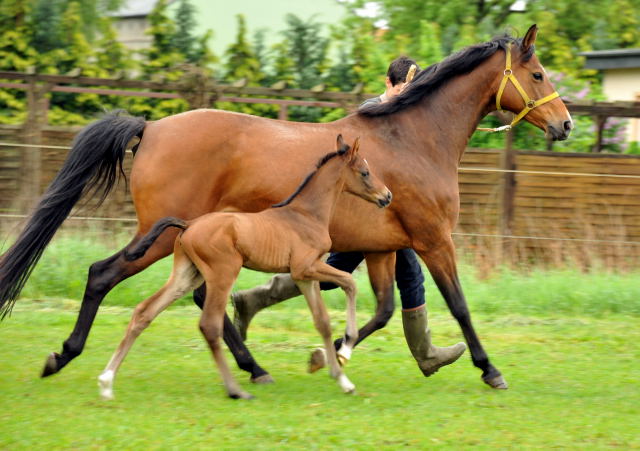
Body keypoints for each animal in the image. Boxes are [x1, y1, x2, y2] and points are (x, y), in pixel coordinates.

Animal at [97, 136, 392, 400]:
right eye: (365, 172)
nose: (387, 196)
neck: (307, 214)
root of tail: (188, 225)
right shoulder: (306, 267)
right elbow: (349, 283)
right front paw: (348, 344)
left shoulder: (304, 277)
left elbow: (323, 321)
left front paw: (343, 380)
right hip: (223, 273)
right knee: (209, 325)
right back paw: (236, 390)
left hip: (187, 275)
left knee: (144, 312)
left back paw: (107, 382)